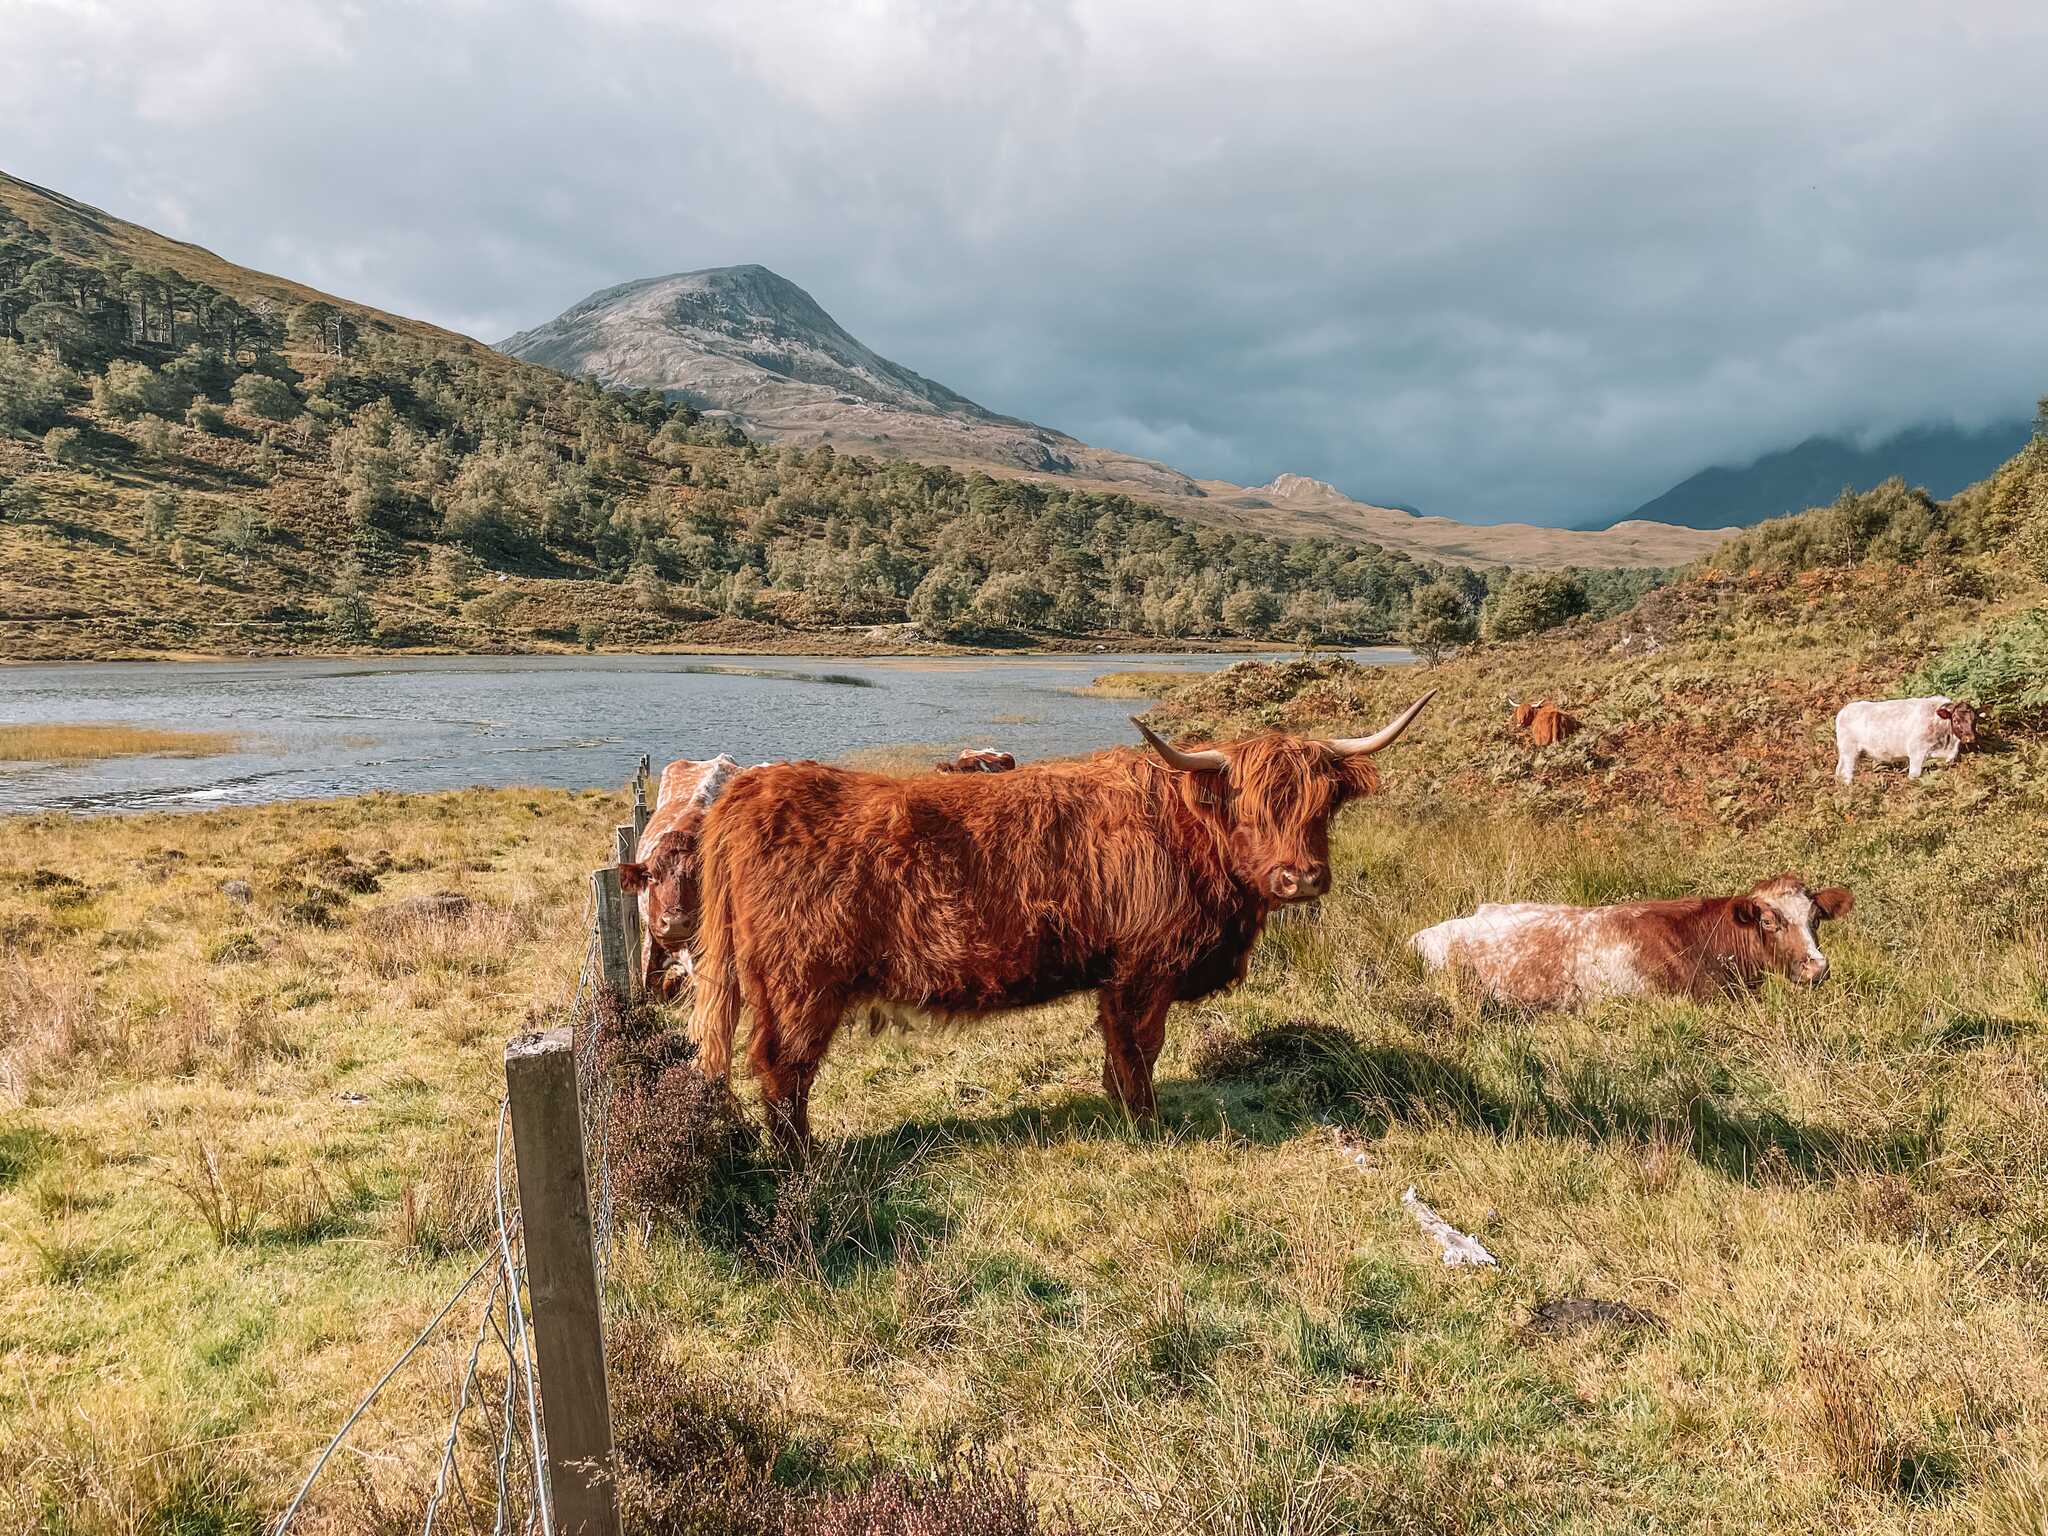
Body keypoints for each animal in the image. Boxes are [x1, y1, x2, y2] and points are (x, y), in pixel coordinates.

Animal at [689, 693, 1436, 1148]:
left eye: (1324, 805)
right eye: (1248, 809)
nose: (1300, 876)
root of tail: (752, 787)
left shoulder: (1117, 974)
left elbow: (1120, 1050)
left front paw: (1118, 1107)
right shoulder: (1143, 969)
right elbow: (1139, 1048)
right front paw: (1146, 1123)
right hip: (802, 983)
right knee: (783, 1068)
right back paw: (803, 1160)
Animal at [1834, 696, 1978, 784]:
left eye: (1974, 720)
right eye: (1956, 720)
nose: (1970, 738)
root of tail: (1843, 711)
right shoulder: (1916, 751)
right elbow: (1914, 775)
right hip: (1850, 751)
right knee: (1846, 773)